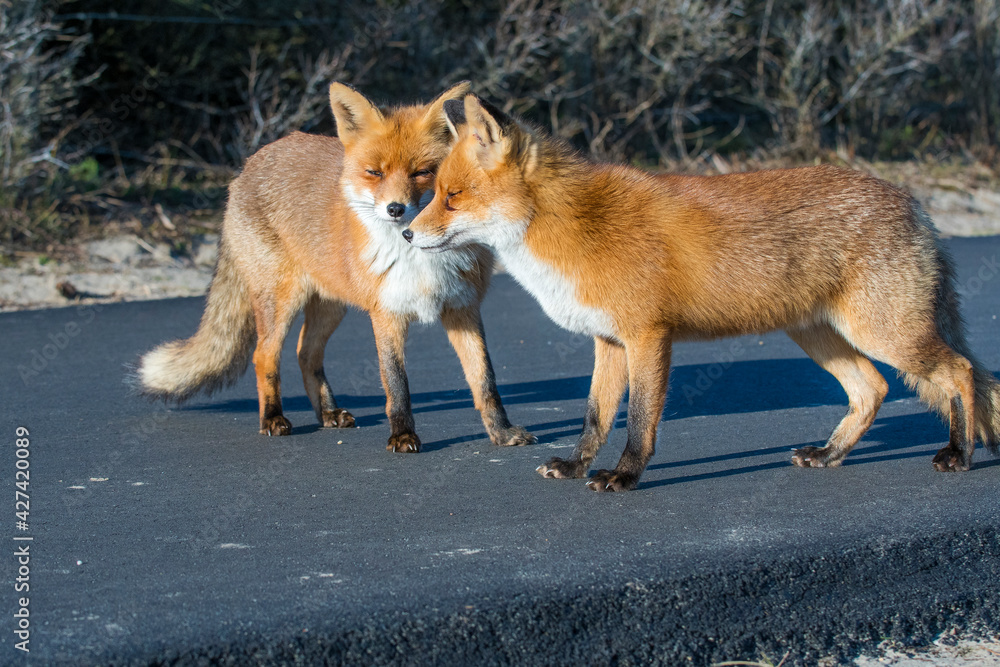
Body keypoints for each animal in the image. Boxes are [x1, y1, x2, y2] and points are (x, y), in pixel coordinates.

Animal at [134, 83, 534, 453]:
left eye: (423, 172)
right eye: (374, 172)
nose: (395, 209)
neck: (419, 256)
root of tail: (251, 162)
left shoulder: (463, 308)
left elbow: (485, 381)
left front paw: (502, 432)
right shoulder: (386, 313)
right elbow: (397, 384)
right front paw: (402, 436)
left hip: (331, 305)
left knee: (305, 353)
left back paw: (327, 412)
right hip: (281, 300)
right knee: (264, 355)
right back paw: (273, 418)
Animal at [402, 93, 1000, 491]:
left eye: (453, 197)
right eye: (437, 192)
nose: (406, 232)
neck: (573, 226)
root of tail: (913, 202)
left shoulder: (648, 336)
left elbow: (640, 420)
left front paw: (624, 476)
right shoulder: (608, 342)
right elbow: (595, 418)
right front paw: (575, 466)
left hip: (886, 334)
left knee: (961, 372)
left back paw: (959, 453)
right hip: (820, 337)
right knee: (872, 389)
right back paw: (830, 454)